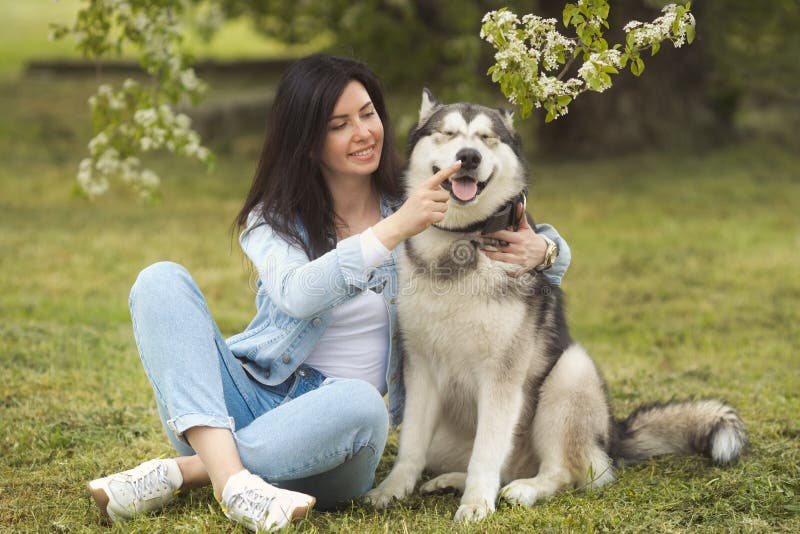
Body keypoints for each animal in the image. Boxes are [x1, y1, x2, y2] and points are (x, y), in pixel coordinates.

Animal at [366, 91, 748, 524]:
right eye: (448, 134)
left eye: (486, 138)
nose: (469, 157)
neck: (463, 240)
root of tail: (613, 435)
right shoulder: (421, 367)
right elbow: (412, 445)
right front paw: (393, 490)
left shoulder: (503, 376)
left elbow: (487, 451)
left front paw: (477, 504)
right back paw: (451, 480)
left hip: (570, 373)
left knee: (566, 472)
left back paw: (525, 489)